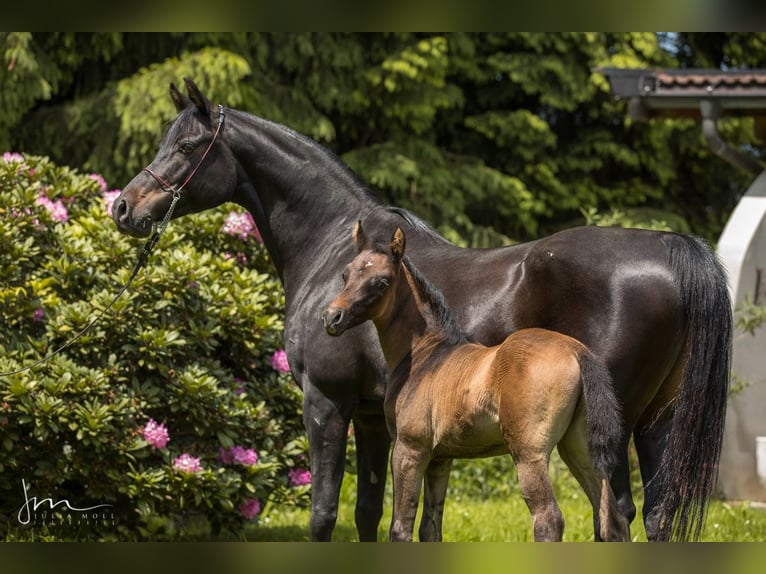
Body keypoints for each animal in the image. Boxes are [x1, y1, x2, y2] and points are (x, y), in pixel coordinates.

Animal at [324, 225, 632, 544]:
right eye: (346, 274)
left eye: (381, 282)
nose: (333, 317)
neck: (425, 354)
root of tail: (576, 350)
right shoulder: (440, 458)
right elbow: (430, 528)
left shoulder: (409, 449)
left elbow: (401, 528)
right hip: (579, 448)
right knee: (612, 518)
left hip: (529, 454)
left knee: (549, 519)